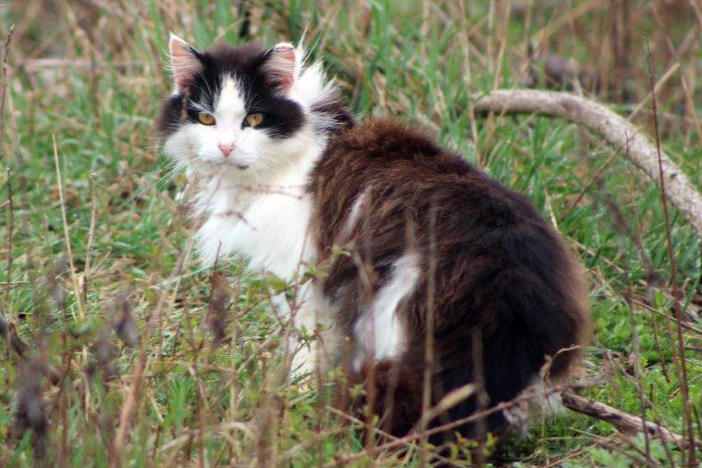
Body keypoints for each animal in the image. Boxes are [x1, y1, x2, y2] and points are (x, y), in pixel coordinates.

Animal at [157, 34, 592, 444]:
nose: (226, 147)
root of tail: (510, 275)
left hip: (393, 313)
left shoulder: (303, 280)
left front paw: (294, 403)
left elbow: (305, 352)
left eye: (254, 118)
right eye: (206, 119)